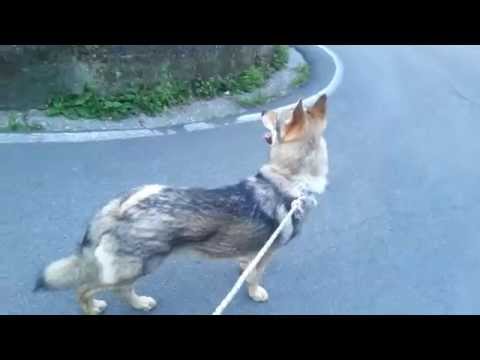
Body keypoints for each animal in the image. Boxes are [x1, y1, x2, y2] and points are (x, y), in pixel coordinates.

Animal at [34, 94, 330, 314]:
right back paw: (100, 306)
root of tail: (117, 208)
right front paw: (255, 292)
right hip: (141, 266)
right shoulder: (267, 252)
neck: (291, 180)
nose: (263, 111)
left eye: (275, 117)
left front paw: (243, 270)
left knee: (113, 289)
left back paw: (136, 304)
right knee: (90, 288)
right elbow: (255, 277)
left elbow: (247, 267)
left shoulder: (255, 251)